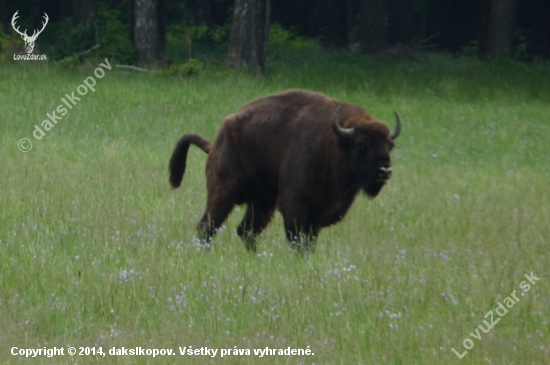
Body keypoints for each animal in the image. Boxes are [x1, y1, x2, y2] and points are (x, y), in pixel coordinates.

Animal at [170, 88, 404, 250]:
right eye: (361, 143)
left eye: (389, 145)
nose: (384, 172)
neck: (332, 143)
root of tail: (216, 142)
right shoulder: (295, 208)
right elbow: (296, 240)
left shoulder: (316, 217)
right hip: (223, 193)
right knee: (207, 227)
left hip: (262, 202)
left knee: (246, 231)